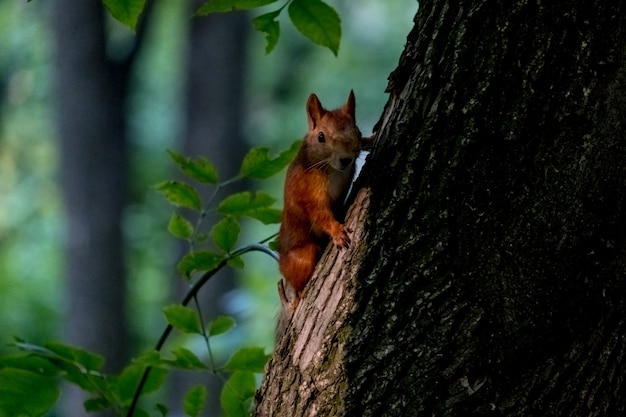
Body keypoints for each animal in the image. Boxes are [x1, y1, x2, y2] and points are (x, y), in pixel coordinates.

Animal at [276, 89, 370, 314]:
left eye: (358, 132)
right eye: (321, 137)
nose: (346, 159)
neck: (331, 168)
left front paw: (370, 140)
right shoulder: (308, 191)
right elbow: (320, 214)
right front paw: (337, 231)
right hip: (304, 256)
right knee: (299, 284)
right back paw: (298, 295)